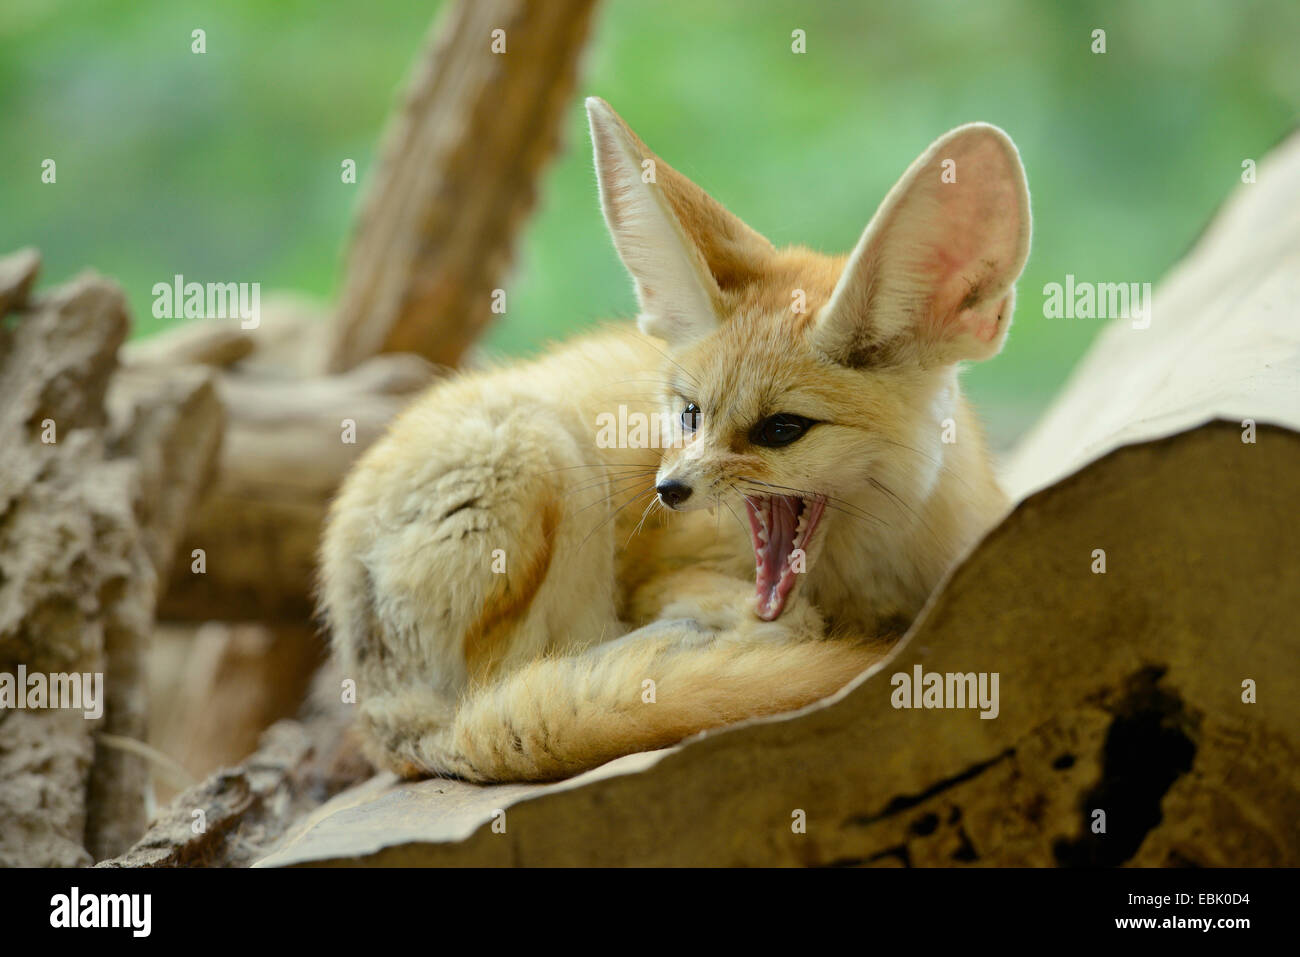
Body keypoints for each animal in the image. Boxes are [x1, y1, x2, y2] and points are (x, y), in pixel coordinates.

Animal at [318, 97, 1031, 783]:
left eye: (782, 429)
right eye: (691, 415)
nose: (667, 489)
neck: (867, 573)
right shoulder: (667, 572)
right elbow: (770, 620)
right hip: (541, 448)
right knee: (511, 680)